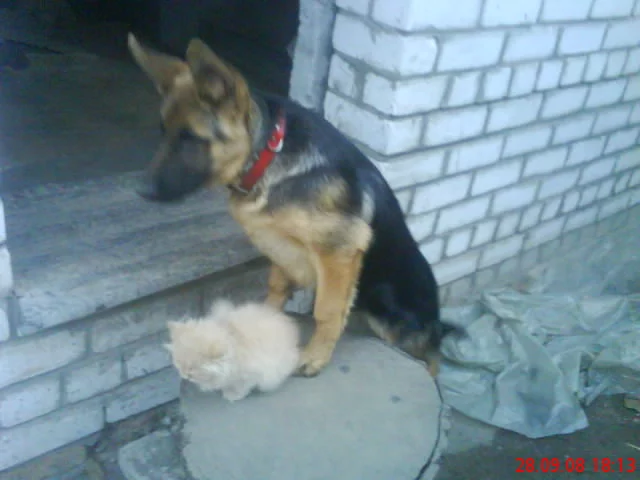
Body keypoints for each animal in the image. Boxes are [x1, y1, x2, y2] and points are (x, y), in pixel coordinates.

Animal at [127, 34, 459, 377]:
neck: (267, 156)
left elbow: (326, 311)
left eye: (191, 139)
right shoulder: (280, 246)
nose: (140, 191)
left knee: (431, 355)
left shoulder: (338, 252)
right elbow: (276, 287)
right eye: (163, 132)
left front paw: (315, 356)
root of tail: (436, 318)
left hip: (389, 311)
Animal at [165, 299, 301, 402]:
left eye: (192, 370)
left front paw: (232, 395)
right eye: (178, 365)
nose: (184, 376)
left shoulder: (250, 375)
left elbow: (241, 386)